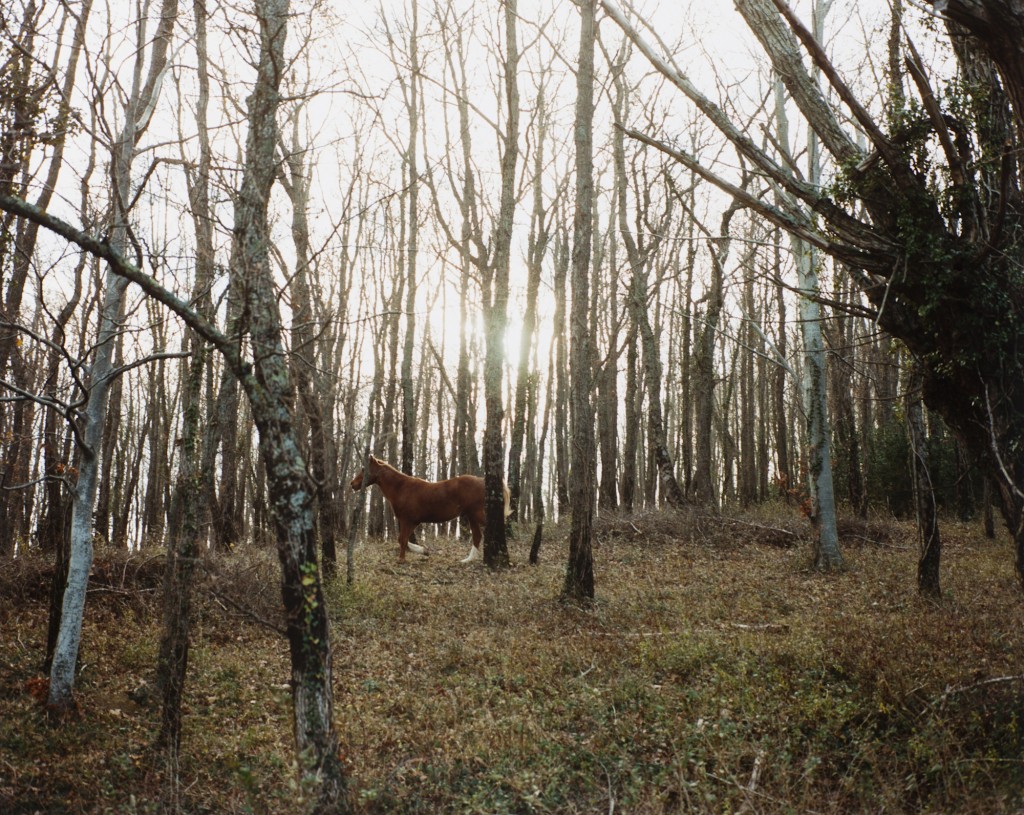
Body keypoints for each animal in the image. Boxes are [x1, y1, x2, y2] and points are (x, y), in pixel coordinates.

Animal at [352, 454, 512, 565]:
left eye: (364, 469)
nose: (352, 484)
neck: (401, 488)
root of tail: (482, 480)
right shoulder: (413, 521)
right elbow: (402, 539)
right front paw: (423, 551)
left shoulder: (406, 520)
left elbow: (402, 540)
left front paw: (401, 560)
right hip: (471, 516)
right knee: (477, 536)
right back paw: (467, 560)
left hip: (477, 514)